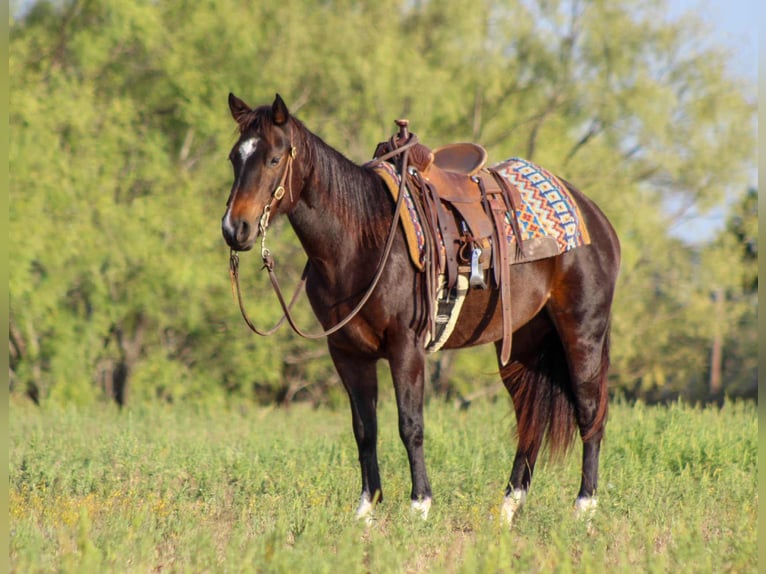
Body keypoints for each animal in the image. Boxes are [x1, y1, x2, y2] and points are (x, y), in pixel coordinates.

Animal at [221, 93, 620, 524]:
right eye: (234, 157)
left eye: (275, 159)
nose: (234, 229)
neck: (362, 240)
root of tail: (594, 216)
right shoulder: (347, 353)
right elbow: (365, 429)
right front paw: (366, 509)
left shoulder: (406, 347)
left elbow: (410, 424)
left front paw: (419, 505)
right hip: (523, 346)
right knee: (530, 422)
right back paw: (508, 508)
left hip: (582, 332)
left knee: (590, 412)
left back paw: (584, 506)